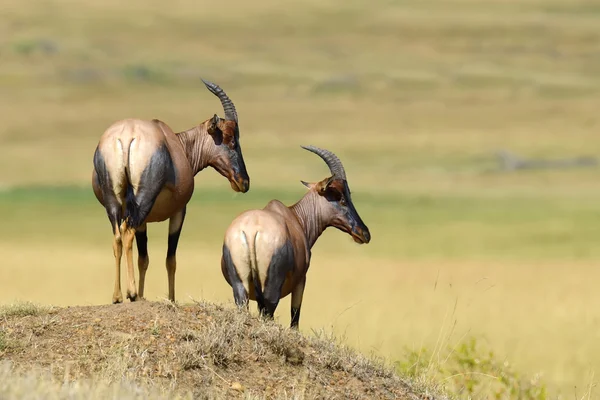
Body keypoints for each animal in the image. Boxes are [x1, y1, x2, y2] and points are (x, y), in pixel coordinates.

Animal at [92, 79, 247, 304]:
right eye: (231, 139)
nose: (244, 182)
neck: (177, 144)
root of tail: (127, 136)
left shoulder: (143, 220)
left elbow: (144, 258)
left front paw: (142, 295)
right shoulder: (179, 211)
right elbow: (170, 259)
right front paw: (170, 299)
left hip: (114, 203)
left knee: (118, 237)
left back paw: (118, 296)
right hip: (143, 200)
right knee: (127, 233)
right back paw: (130, 293)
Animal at [220, 145, 370, 328]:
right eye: (341, 197)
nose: (364, 233)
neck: (295, 217)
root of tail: (251, 229)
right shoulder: (301, 282)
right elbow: (295, 319)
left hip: (240, 287)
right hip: (271, 292)